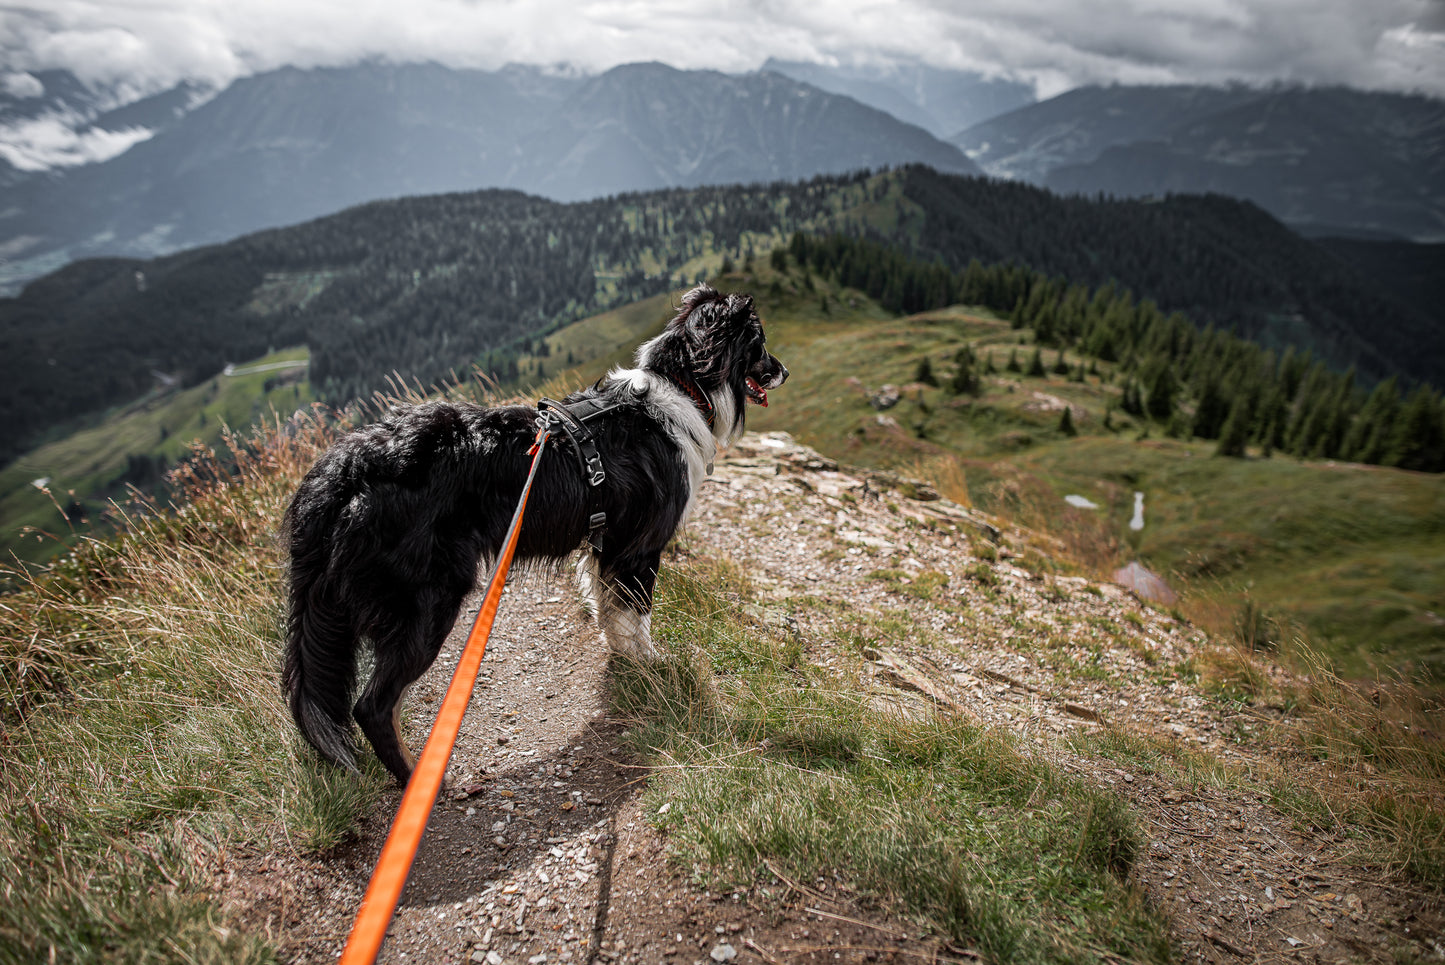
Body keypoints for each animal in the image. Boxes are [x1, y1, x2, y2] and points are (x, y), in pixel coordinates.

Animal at [281, 286, 791, 785]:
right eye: (760, 342)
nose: (784, 371)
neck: (683, 387)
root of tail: (347, 468)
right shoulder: (639, 548)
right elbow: (637, 615)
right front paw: (650, 666)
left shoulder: (606, 544)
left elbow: (610, 610)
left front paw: (623, 660)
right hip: (427, 599)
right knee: (372, 707)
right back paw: (420, 781)